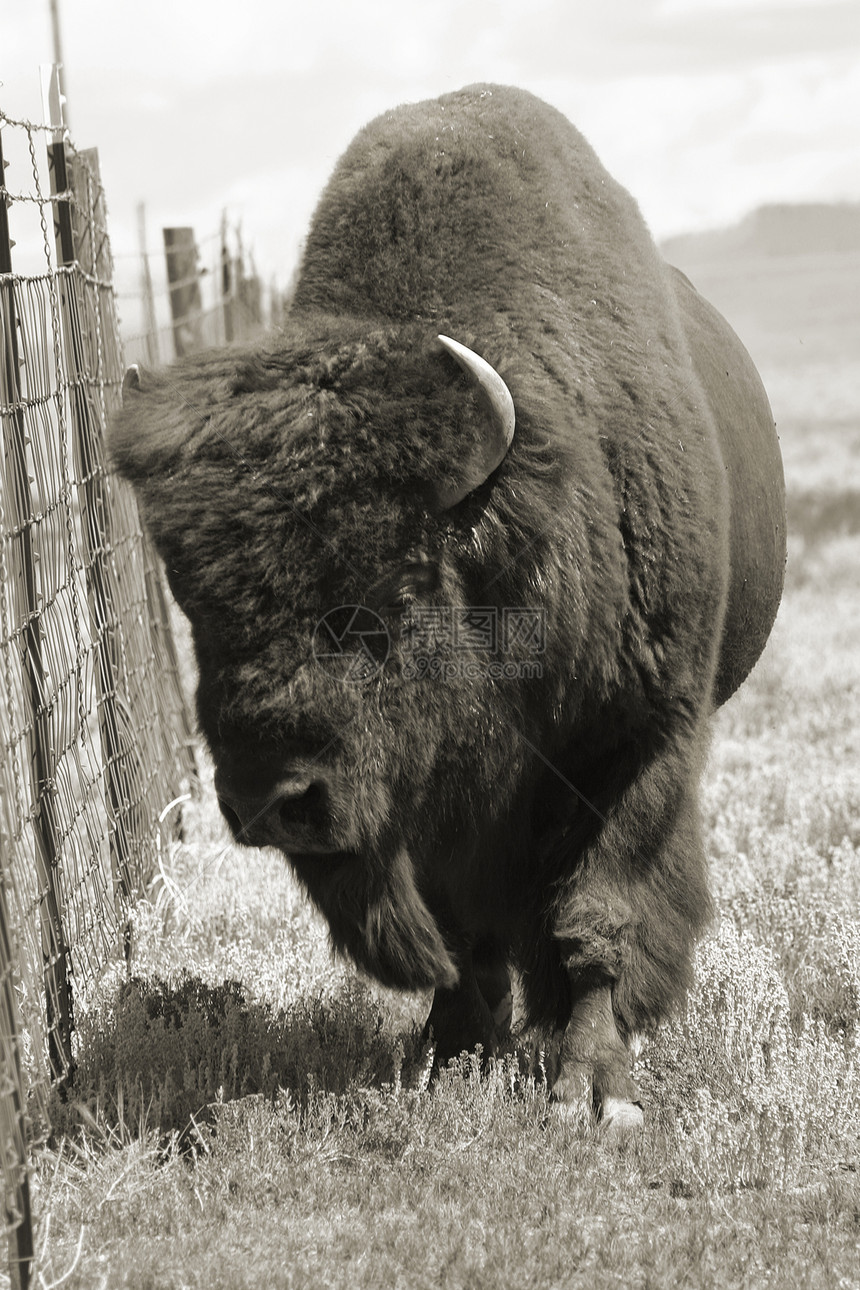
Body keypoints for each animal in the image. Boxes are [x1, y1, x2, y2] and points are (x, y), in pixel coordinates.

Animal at [110, 85, 783, 1130]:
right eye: (194, 605)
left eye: (386, 597)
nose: (272, 802)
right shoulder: (426, 804)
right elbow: (465, 929)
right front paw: (450, 1054)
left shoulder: (642, 734)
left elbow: (602, 908)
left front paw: (594, 1093)